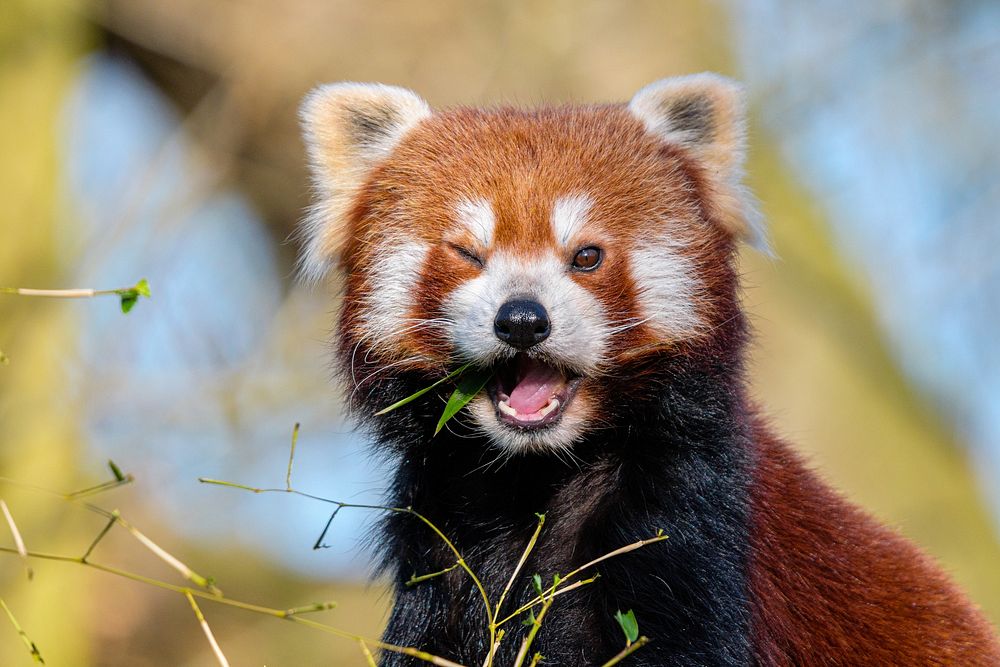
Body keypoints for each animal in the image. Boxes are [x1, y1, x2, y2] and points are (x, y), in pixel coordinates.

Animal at [298, 75, 1000, 664]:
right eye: (468, 254)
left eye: (586, 256)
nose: (521, 320)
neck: (538, 475)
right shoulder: (442, 538)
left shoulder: (691, 529)